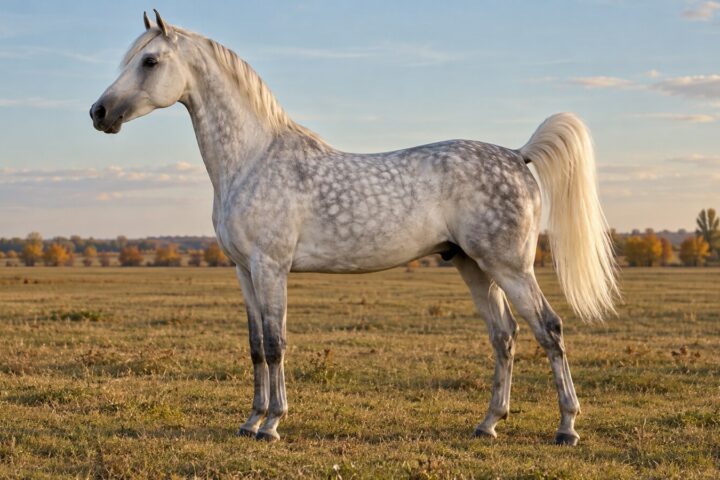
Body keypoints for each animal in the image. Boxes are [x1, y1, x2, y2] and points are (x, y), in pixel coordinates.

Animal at [90, 10, 618, 445]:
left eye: (150, 61)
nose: (99, 113)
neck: (253, 159)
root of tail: (516, 154)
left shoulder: (271, 268)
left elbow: (277, 344)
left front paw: (273, 423)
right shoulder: (244, 271)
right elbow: (257, 346)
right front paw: (250, 420)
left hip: (510, 267)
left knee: (548, 329)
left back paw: (567, 427)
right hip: (473, 266)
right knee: (504, 336)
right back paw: (488, 423)